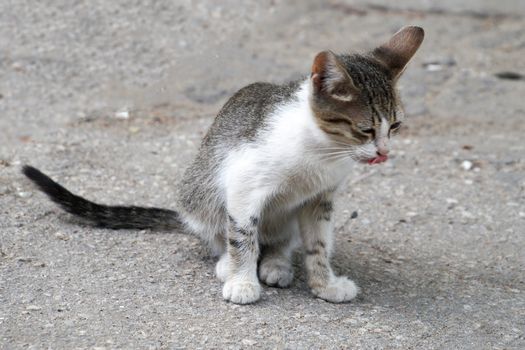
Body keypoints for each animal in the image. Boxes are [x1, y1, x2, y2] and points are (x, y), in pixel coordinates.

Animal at [25, 26, 426, 304]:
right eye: (364, 129)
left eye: (395, 126)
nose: (383, 152)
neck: (323, 151)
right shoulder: (244, 183)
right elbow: (242, 236)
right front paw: (241, 281)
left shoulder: (320, 199)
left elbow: (318, 245)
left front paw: (324, 284)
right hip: (200, 191)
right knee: (219, 233)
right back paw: (227, 264)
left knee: (281, 238)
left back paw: (277, 263)